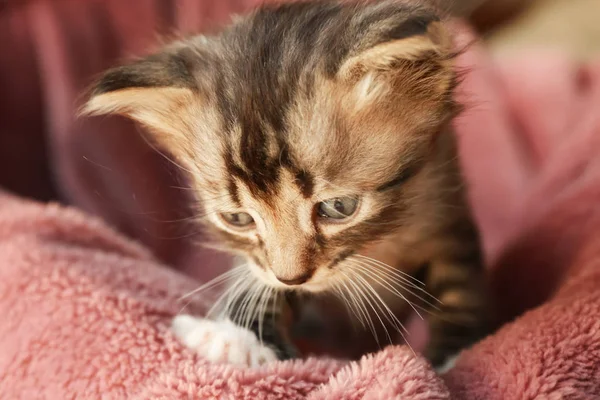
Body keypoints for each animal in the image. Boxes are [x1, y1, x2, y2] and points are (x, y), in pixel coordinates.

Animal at [83, 0, 492, 368]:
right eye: (238, 219)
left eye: (338, 208)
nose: (293, 278)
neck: (380, 244)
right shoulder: (261, 265)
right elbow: (258, 280)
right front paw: (236, 340)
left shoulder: (447, 215)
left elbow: (460, 292)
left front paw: (451, 358)